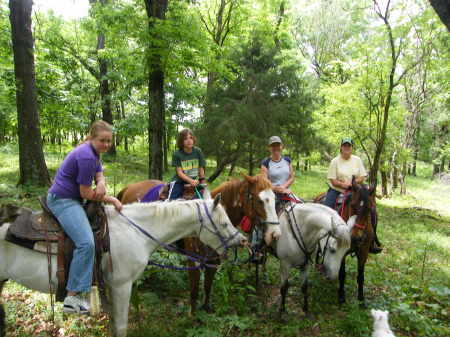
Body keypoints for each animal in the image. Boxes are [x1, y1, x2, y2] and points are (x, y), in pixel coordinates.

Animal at [116, 173, 280, 312]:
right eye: (259, 200)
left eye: (274, 198)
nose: (275, 233)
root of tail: (129, 187)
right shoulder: (193, 261)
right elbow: (194, 291)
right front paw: (193, 316)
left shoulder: (213, 261)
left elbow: (207, 286)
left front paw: (206, 309)